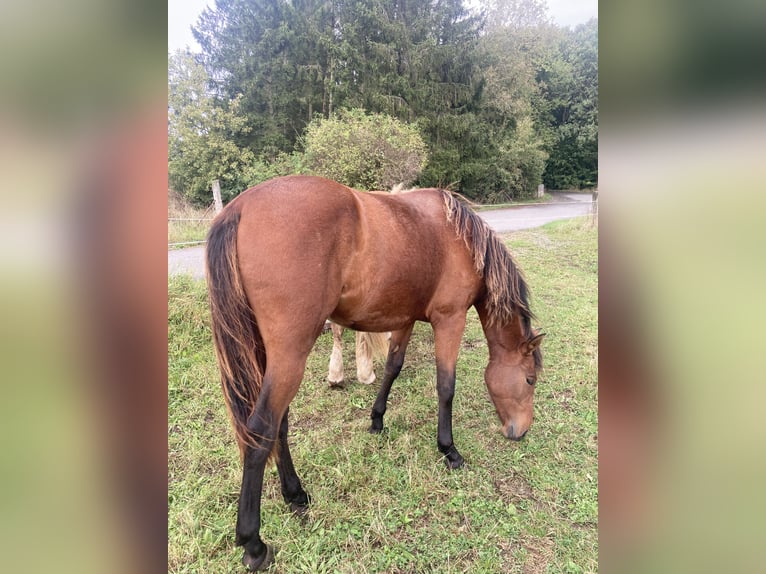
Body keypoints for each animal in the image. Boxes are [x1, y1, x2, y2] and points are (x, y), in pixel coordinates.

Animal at [206, 176, 544, 572]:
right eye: (530, 380)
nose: (521, 431)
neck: (459, 239)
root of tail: (239, 208)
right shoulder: (450, 320)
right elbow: (446, 386)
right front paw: (448, 449)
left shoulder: (406, 319)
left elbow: (392, 369)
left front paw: (377, 419)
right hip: (290, 355)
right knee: (261, 429)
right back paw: (254, 543)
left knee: (280, 426)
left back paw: (295, 494)